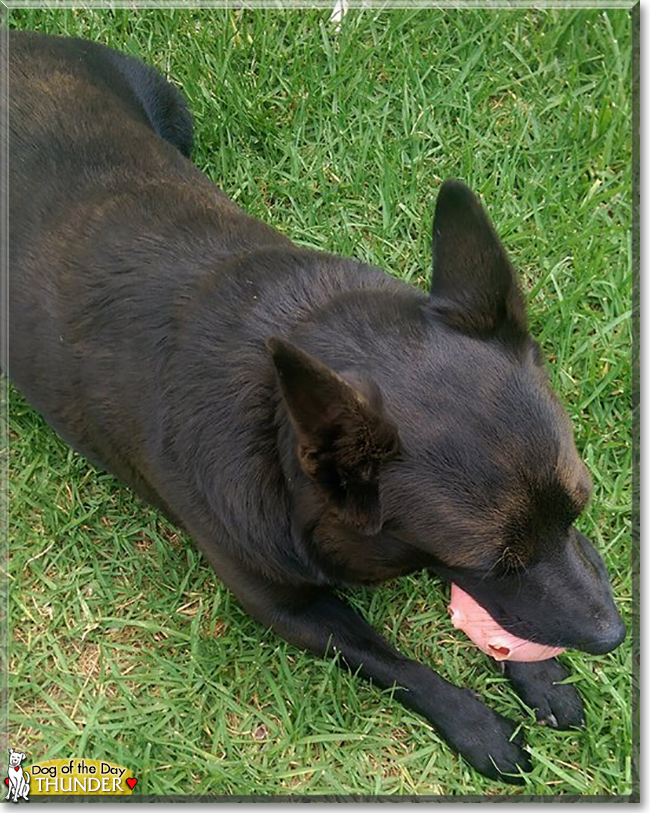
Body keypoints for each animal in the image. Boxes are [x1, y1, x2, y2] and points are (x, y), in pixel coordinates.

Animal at [6, 30, 624, 780]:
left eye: (582, 503)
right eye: (490, 563)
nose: (614, 634)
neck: (276, 423)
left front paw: (540, 676)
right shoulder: (287, 608)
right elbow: (395, 663)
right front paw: (479, 725)